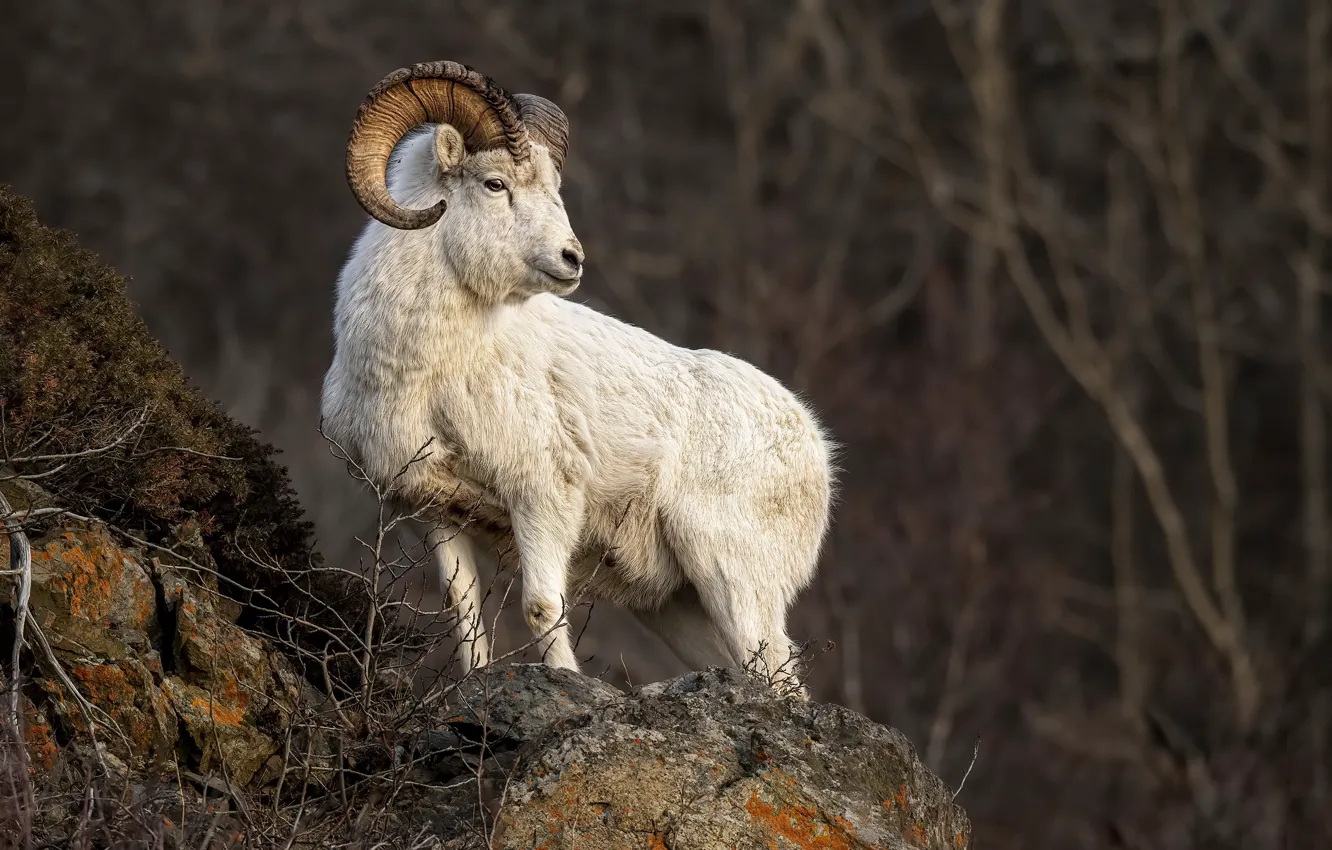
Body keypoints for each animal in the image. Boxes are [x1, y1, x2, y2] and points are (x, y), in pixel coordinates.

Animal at [321, 63, 836, 698]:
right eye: (494, 184)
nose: (573, 259)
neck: (424, 377)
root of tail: (814, 445)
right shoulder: (435, 514)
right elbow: (465, 618)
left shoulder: (542, 500)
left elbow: (542, 607)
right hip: (678, 606)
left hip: (736, 581)